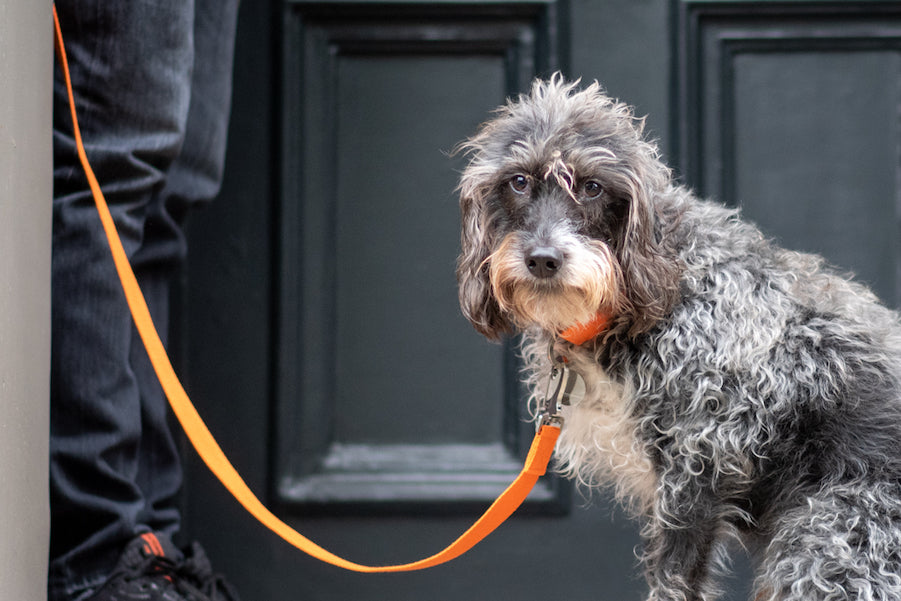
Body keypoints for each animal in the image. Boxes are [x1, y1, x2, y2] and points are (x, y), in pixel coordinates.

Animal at [454, 75, 900, 600]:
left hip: (829, 544)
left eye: (591, 186)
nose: (543, 259)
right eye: (519, 182)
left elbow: (673, 580)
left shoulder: (696, 469)